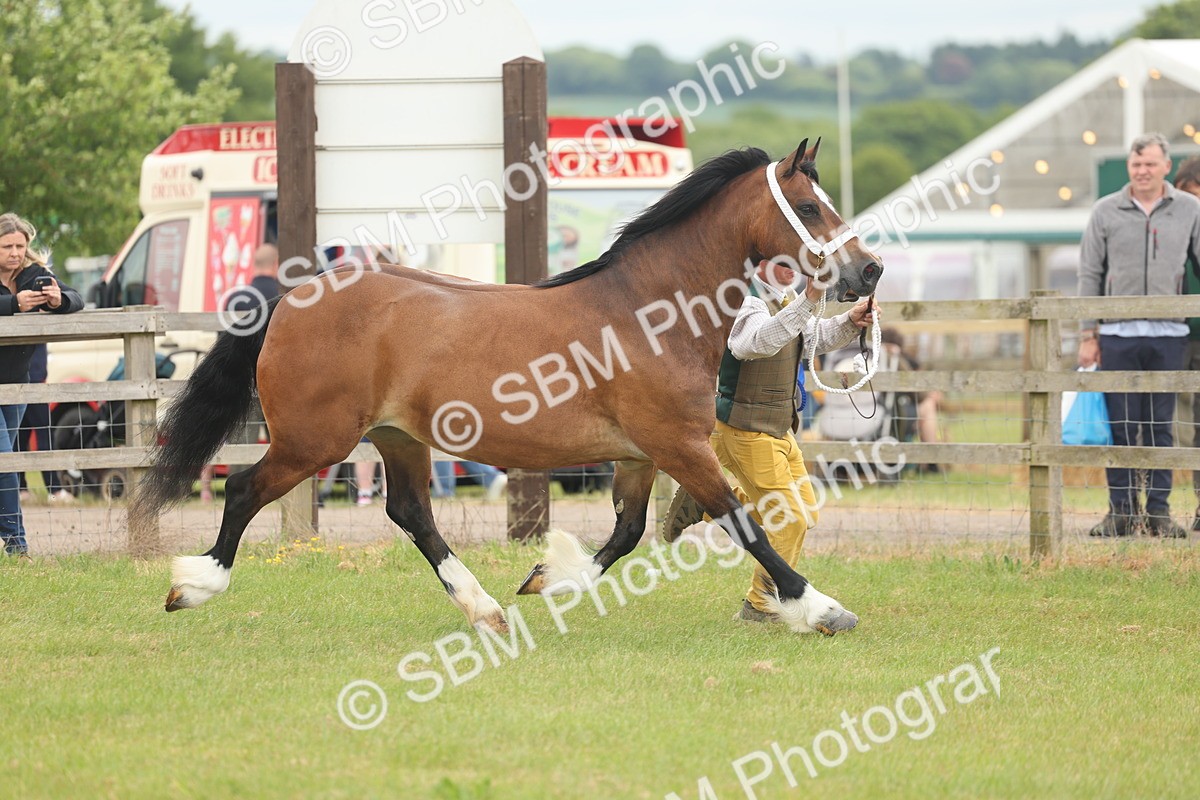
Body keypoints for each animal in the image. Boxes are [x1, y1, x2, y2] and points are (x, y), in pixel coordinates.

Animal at [134, 138, 882, 636]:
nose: (870, 271)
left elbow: (627, 532)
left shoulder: (640, 455)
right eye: (811, 207)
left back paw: (484, 606)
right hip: (312, 441)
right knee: (241, 489)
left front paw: (548, 579)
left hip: (397, 437)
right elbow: (742, 521)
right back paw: (193, 586)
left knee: (412, 513)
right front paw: (823, 608)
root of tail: (291, 298)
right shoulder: (679, 447)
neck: (648, 311)